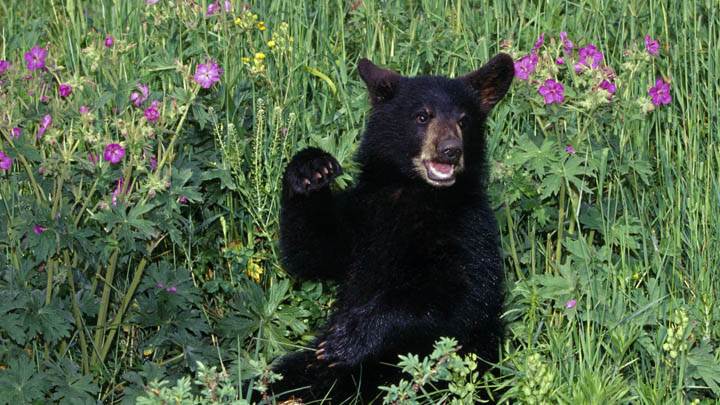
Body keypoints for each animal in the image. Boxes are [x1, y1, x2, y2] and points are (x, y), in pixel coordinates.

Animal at [267, 53, 514, 403]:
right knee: (285, 375)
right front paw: (310, 169)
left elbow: (463, 298)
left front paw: (351, 337)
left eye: (464, 120)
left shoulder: (470, 228)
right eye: (422, 116)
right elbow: (312, 250)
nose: (451, 150)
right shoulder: (363, 216)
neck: (413, 193)